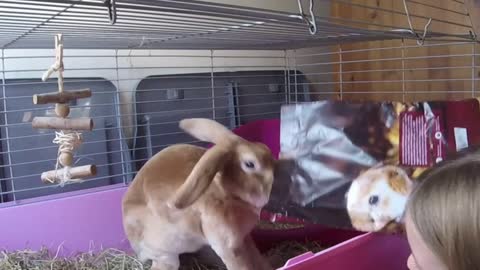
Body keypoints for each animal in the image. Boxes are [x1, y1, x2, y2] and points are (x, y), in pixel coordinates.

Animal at [122, 118, 276, 270]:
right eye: (250, 164)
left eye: (265, 148)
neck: (228, 193)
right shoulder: (227, 246)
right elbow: (242, 266)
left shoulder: (244, 238)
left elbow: (257, 258)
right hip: (166, 254)